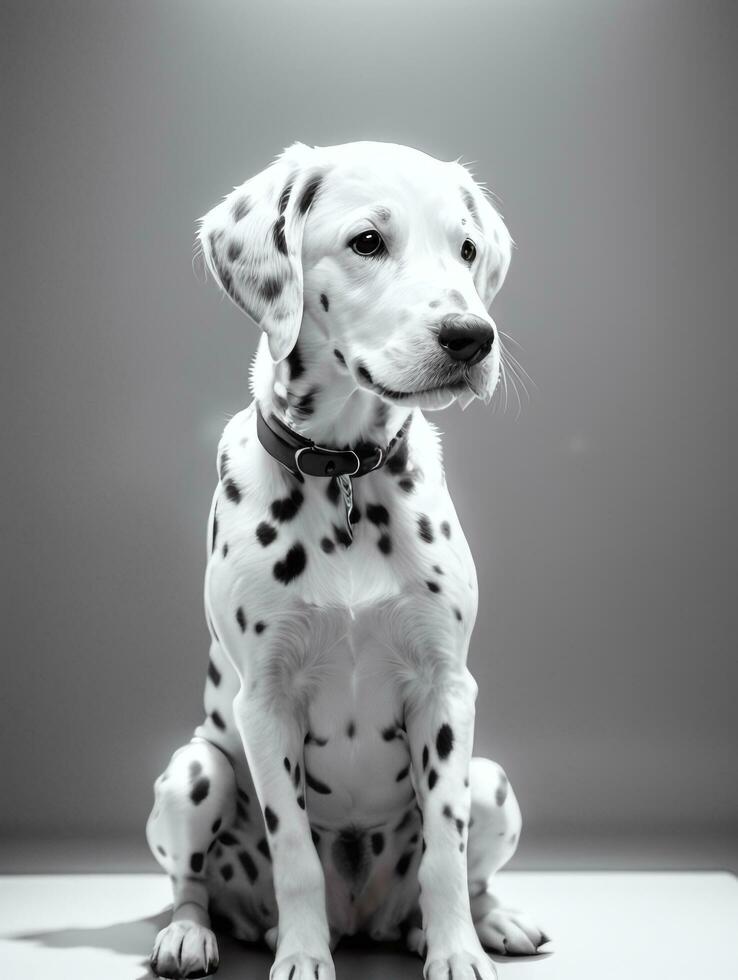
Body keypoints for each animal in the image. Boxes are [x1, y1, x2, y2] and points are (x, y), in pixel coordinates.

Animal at [145, 140, 548, 980]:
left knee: (469, 867)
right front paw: (303, 957)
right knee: (188, 881)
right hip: (192, 773)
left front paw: (458, 951)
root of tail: (364, 919)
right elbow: (294, 852)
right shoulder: (264, 706)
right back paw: (190, 935)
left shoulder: (445, 692)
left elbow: (445, 853)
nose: (471, 335)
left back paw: (481, 923)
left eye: (467, 250)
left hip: (492, 781)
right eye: (367, 242)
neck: (345, 474)